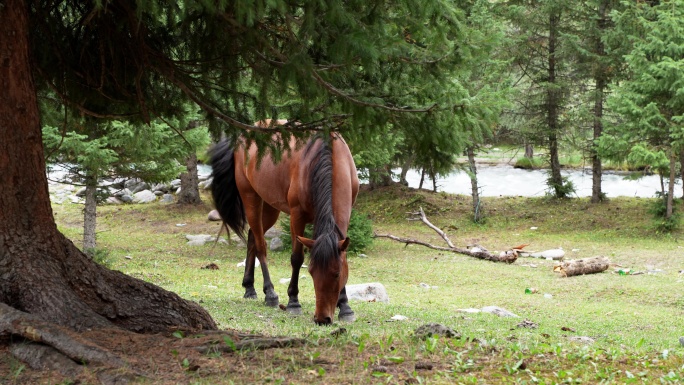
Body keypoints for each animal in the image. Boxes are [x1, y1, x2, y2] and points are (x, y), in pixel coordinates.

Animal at [207, 121, 358, 324]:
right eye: (311, 272)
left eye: (336, 274)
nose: (322, 318)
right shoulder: (297, 216)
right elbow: (297, 258)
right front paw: (293, 301)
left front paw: (345, 306)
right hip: (251, 198)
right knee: (260, 245)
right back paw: (270, 293)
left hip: (271, 207)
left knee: (252, 237)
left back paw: (250, 288)